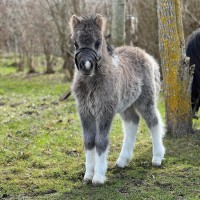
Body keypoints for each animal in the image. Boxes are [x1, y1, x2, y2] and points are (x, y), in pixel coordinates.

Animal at [69, 14, 165, 185]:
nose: (86, 66)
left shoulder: (105, 110)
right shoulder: (84, 111)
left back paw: (157, 157)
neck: (92, 83)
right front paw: (88, 175)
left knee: (154, 122)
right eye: (75, 43)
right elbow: (89, 141)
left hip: (145, 101)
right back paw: (122, 161)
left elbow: (101, 141)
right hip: (126, 105)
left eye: (98, 42)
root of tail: (147, 55)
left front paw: (98, 177)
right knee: (132, 122)